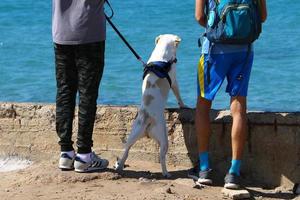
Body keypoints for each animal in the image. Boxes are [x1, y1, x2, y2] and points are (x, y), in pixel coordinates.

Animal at [114, 34, 186, 178]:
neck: (162, 53)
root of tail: (147, 118)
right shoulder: (175, 81)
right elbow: (178, 94)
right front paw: (183, 105)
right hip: (163, 138)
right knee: (162, 156)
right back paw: (166, 173)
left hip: (134, 133)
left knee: (126, 150)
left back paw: (120, 166)